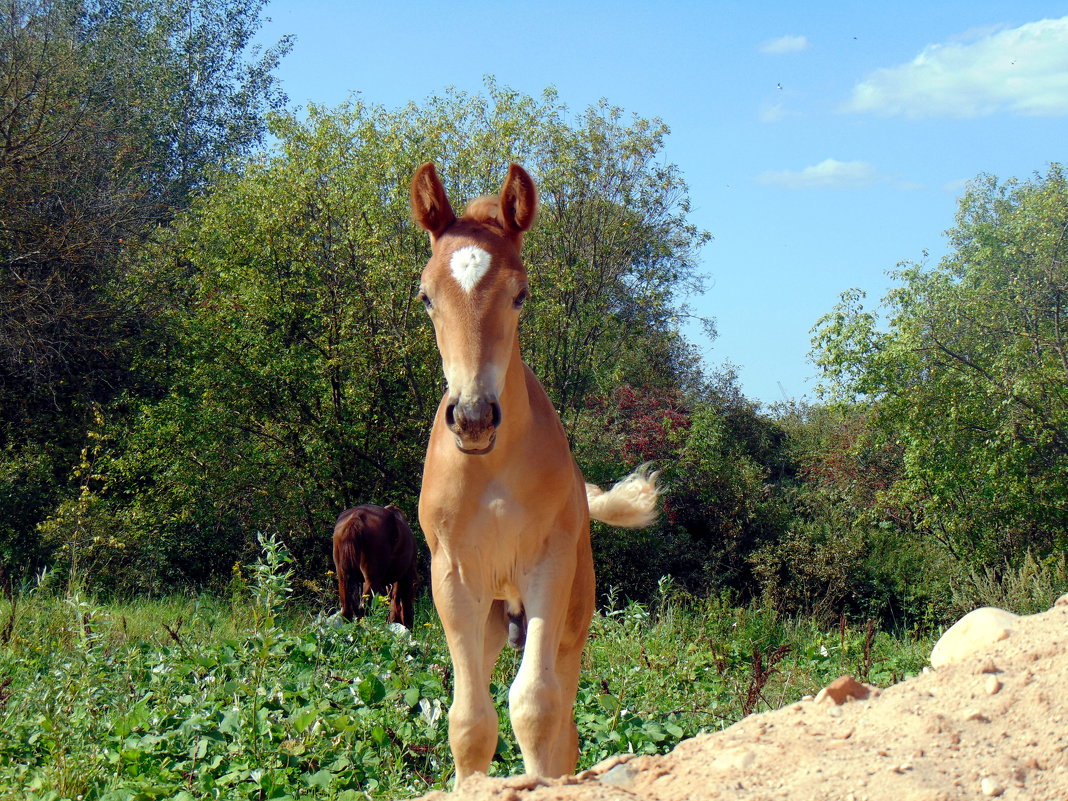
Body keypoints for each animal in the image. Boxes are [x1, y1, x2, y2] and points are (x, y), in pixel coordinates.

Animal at [333, 504, 416, 632]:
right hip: (373, 579)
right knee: (363, 610)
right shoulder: (406, 575)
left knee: (347, 611)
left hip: (343, 577)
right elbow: (403, 604)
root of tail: (356, 518)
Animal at [410, 161, 653, 786]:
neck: (491, 467)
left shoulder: (548, 566)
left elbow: (535, 707)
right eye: (426, 296)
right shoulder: (453, 576)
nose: (473, 417)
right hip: (493, 619)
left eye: (519, 294)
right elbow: (469, 721)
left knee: (563, 723)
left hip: (570, 619)